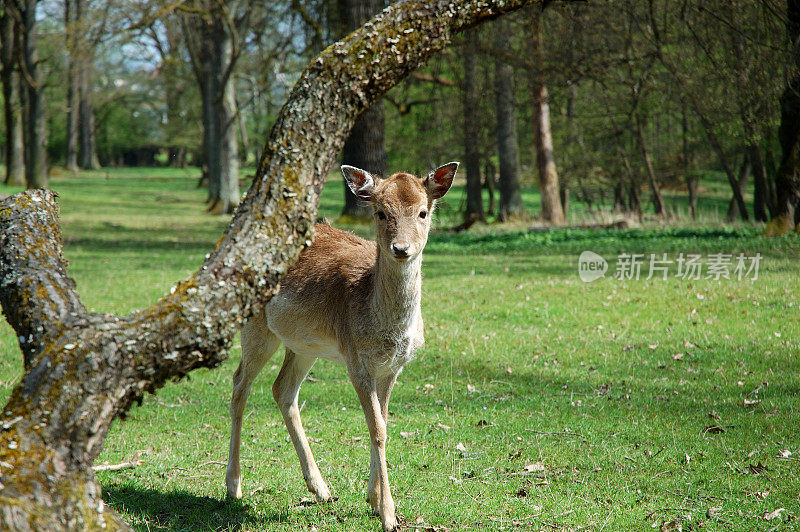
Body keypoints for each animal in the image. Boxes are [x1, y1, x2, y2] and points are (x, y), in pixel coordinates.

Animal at [228, 160, 460, 528]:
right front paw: (389, 515)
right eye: (381, 212)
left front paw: (374, 500)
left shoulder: (393, 367)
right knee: (239, 385)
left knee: (282, 389)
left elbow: (383, 422)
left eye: (423, 212)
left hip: (304, 345)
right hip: (256, 327)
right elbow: (377, 428)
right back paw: (233, 486)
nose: (401, 249)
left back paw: (321, 488)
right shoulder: (356, 361)